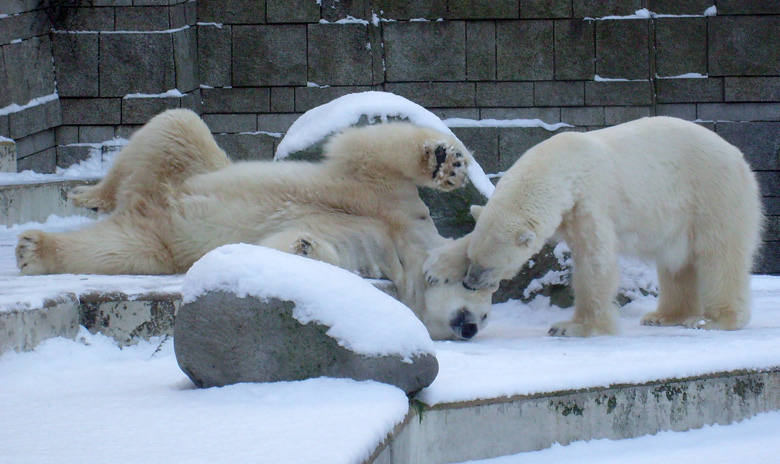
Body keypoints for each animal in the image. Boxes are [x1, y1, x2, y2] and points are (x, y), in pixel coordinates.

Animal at [15, 109, 494, 340]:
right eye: (477, 289)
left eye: (488, 317)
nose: (470, 326)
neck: (406, 247)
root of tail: (144, 201)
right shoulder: (393, 204)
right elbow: (366, 149)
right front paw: (446, 162)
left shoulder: (375, 248)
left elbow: (316, 246)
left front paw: (304, 248)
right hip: (188, 163)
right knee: (174, 124)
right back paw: (88, 195)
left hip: (159, 241)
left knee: (119, 248)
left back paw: (35, 250)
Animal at [426, 116, 760, 338]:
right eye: (473, 260)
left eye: (491, 267)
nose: (471, 282)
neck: (562, 165)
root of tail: (739, 157)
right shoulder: (563, 211)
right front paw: (436, 268)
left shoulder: (590, 200)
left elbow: (594, 260)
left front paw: (573, 326)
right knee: (676, 264)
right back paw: (664, 316)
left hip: (712, 194)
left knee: (719, 254)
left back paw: (716, 320)